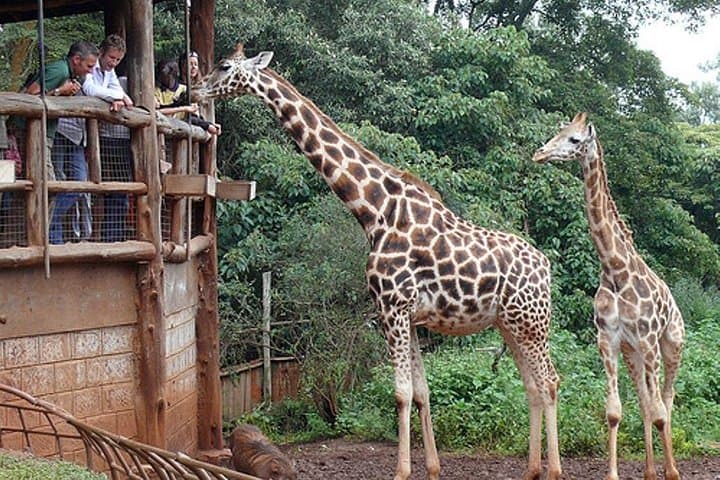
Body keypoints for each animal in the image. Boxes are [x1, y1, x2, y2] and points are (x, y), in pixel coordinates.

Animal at [195, 44, 562, 480]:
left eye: (224, 66)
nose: (197, 89)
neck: (375, 210)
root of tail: (546, 269)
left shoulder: (391, 307)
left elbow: (401, 393)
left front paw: (401, 471)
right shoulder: (411, 316)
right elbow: (421, 393)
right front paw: (432, 468)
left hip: (531, 323)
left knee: (550, 381)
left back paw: (554, 471)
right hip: (510, 323)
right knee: (533, 386)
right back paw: (532, 470)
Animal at [533, 112, 685, 480]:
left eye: (574, 139)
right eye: (558, 131)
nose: (540, 153)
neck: (615, 271)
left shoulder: (648, 340)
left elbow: (661, 412)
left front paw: (671, 473)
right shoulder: (609, 340)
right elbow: (615, 411)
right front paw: (615, 473)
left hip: (670, 345)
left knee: (667, 400)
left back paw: (670, 468)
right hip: (633, 354)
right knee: (645, 401)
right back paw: (649, 471)